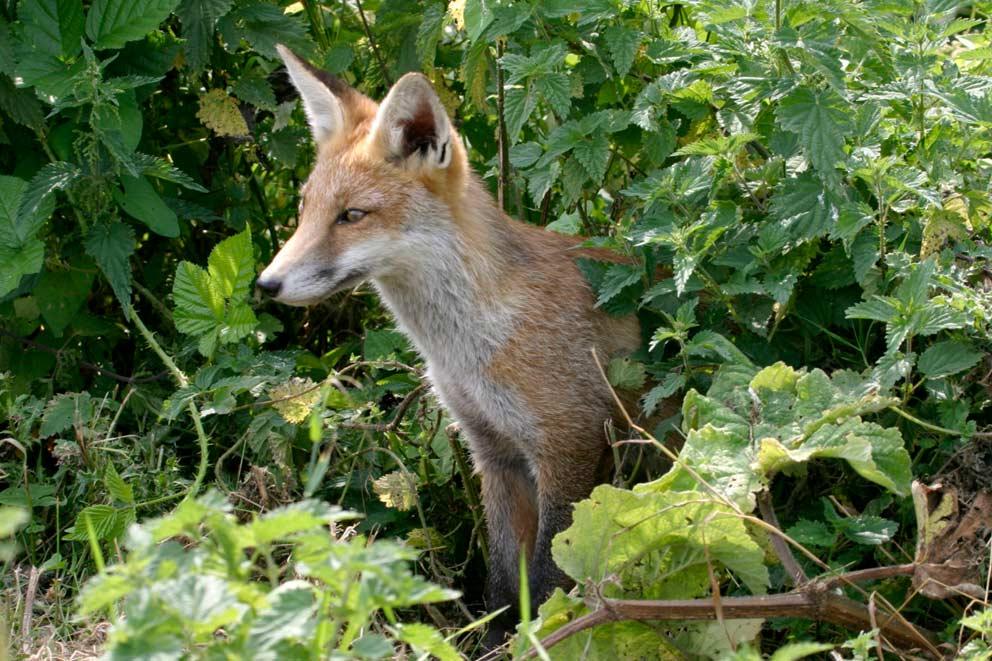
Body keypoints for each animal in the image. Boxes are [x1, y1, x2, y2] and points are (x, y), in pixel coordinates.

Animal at [258, 45, 644, 640]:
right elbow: (505, 577)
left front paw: (540, 636)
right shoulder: (494, 451)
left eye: (352, 215)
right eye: (305, 209)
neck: (463, 350)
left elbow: (550, 571)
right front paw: (493, 638)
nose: (266, 285)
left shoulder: (570, 445)